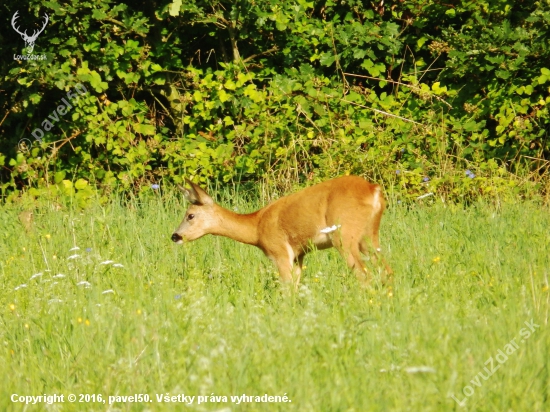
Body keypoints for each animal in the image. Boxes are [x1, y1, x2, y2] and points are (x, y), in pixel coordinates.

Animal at [172, 175, 392, 286]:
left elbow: (286, 288)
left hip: (344, 235)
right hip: (369, 236)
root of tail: (373, 190)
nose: (175, 236)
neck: (257, 227)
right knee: (386, 271)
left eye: (190, 215)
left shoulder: (279, 251)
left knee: (364, 275)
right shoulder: (298, 255)